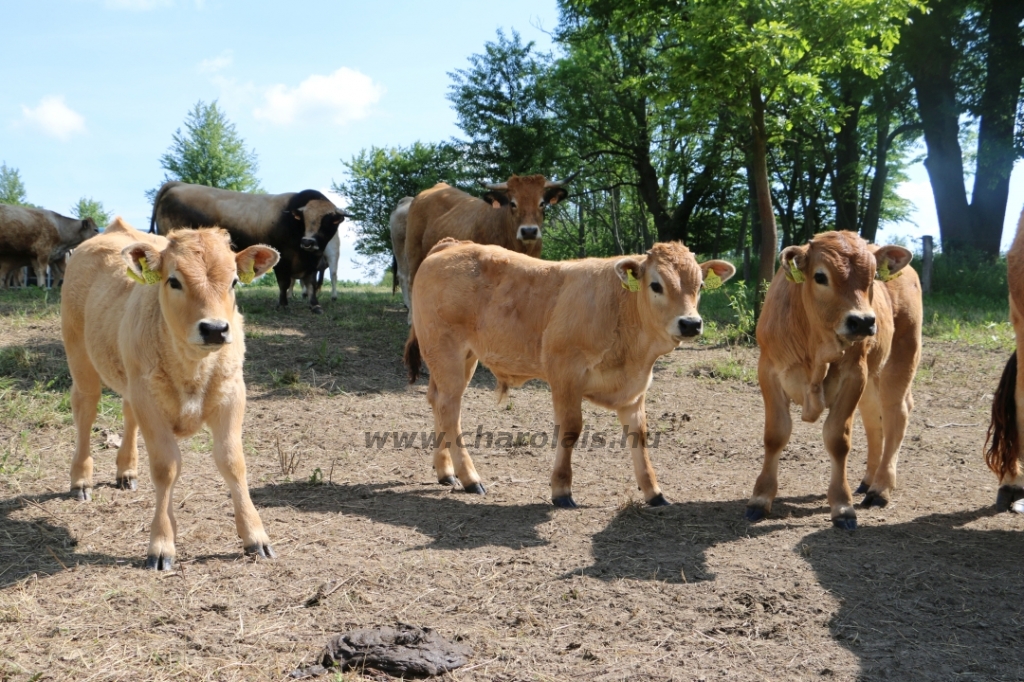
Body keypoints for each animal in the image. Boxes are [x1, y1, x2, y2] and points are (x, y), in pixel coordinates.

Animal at [61, 218, 282, 569]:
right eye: (174, 281)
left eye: (234, 281)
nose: (215, 329)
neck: (192, 367)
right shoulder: (150, 403)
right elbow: (166, 468)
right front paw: (162, 544)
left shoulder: (233, 393)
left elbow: (233, 461)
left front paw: (255, 535)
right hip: (80, 358)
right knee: (85, 409)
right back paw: (81, 479)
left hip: (130, 377)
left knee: (127, 413)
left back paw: (126, 471)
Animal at [403, 237, 733, 503]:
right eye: (656, 285)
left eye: (700, 286)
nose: (690, 323)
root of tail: (452, 244)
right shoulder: (564, 374)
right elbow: (571, 430)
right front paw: (561, 490)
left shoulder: (635, 389)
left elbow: (639, 435)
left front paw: (654, 492)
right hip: (447, 352)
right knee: (450, 410)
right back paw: (471, 478)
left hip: (463, 358)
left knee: (438, 402)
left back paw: (445, 472)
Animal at [749, 231, 925, 528]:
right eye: (820, 276)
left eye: (873, 276)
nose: (863, 321)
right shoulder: (769, 371)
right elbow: (775, 435)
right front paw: (760, 499)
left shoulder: (853, 375)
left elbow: (837, 440)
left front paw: (842, 506)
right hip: (874, 378)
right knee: (873, 418)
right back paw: (867, 481)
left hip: (902, 357)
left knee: (896, 415)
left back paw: (880, 488)